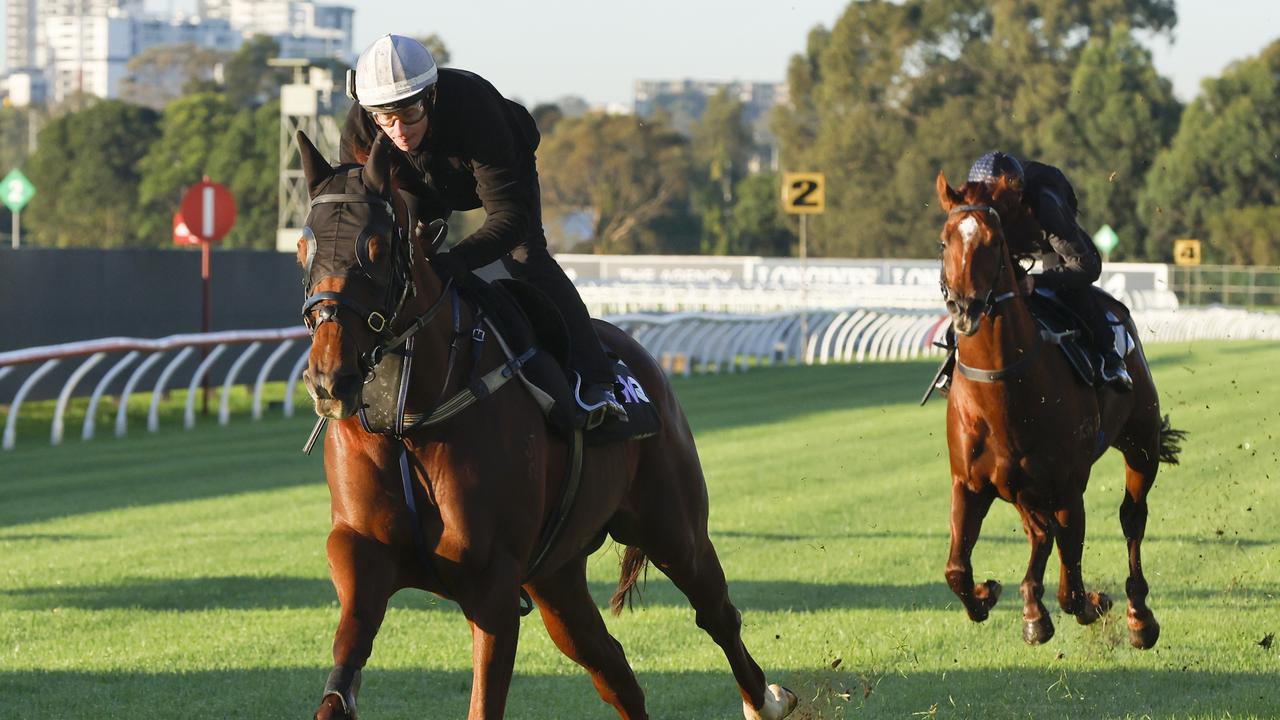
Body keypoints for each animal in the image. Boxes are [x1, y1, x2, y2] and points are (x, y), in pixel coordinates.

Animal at [293, 130, 793, 717]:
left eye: (373, 250)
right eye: (302, 249)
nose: (329, 379)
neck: (409, 420)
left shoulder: (493, 583)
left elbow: (485, 701)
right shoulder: (361, 554)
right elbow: (342, 673)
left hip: (674, 528)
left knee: (715, 612)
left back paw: (766, 700)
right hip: (559, 576)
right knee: (612, 668)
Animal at [936, 170, 1182, 648]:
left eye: (994, 241)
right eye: (944, 241)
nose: (964, 307)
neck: (1003, 392)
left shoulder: (1069, 485)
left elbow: (1072, 589)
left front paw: (1094, 603)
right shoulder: (969, 484)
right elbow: (956, 570)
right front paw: (989, 594)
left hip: (1140, 442)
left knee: (1131, 518)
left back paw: (1138, 617)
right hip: (1022, 488)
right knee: (1039, 532)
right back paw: (1033, 605)